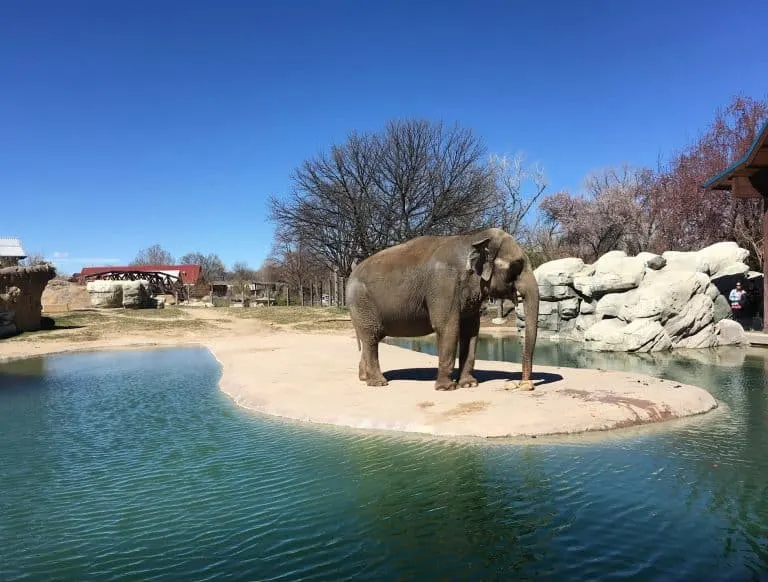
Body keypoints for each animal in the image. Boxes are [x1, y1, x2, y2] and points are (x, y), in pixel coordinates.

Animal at [348, 228, 540, 392]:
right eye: (516, 266)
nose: (524, 383)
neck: (473, 237)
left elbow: (471, 331)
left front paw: (469, 384)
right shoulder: (444, 285)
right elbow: (448, 327)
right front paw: (447, 388)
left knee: (370, 339)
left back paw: (364, 378)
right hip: (362, 303)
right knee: (371, 338)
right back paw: (378, 383)